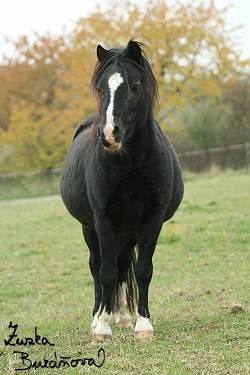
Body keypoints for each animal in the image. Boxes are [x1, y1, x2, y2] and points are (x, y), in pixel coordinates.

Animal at [60, 40, 184, 340]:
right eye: (100, 89)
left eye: (135, 86)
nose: (108, 134)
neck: (132, 165)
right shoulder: (103, 220)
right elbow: (106, 273)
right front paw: (103, 328)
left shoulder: (151, 219)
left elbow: (142, 270)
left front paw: (143, 325)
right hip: (90, 228)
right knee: (97, 265)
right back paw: (98, 318)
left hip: (127, 231)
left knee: (124, 261)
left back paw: (124, 317)